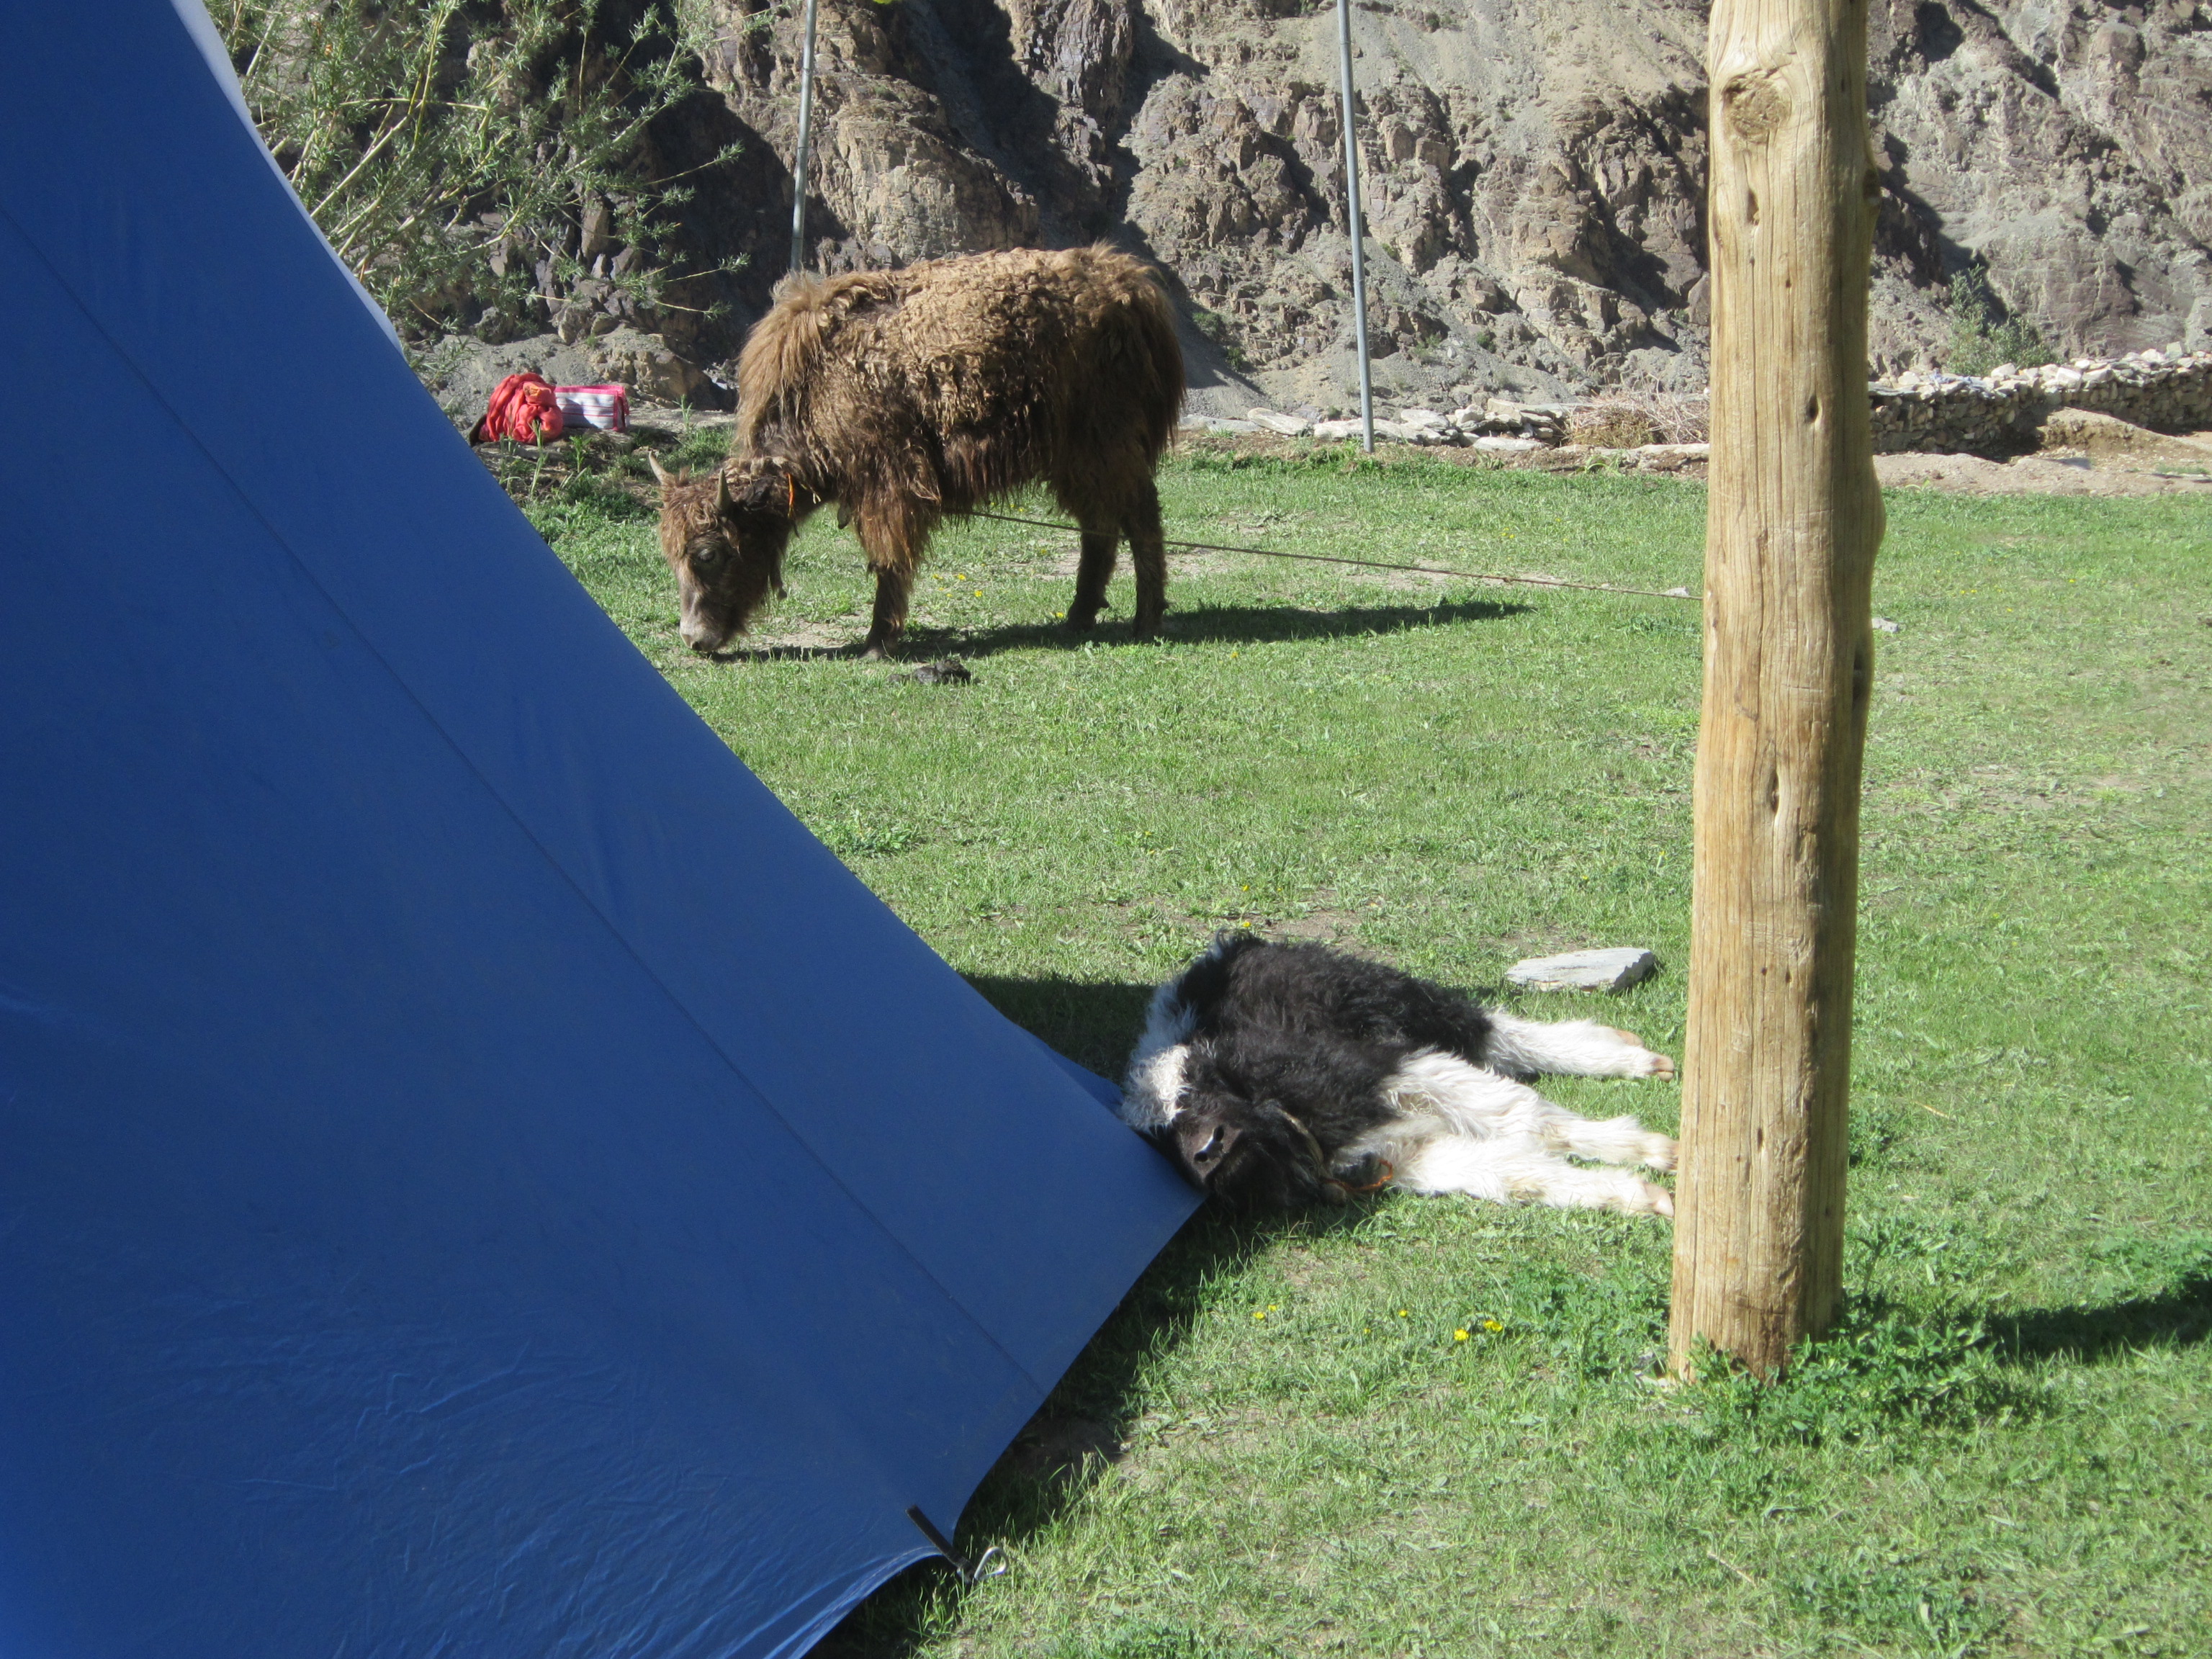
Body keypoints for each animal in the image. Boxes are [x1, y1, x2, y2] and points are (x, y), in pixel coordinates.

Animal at [1119, 933, 1678, 1216]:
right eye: (1160, 1140)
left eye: (1203, 1083)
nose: (1207, 1151)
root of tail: (1234, 946)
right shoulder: (1398, 1151)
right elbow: (1508, 1171)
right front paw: (1633, 1195)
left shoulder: (1388, 1068)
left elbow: (1524, 1116)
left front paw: (1651, 1150)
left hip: (1387, 997)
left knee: (1496, 1031)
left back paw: (1628, 1056)